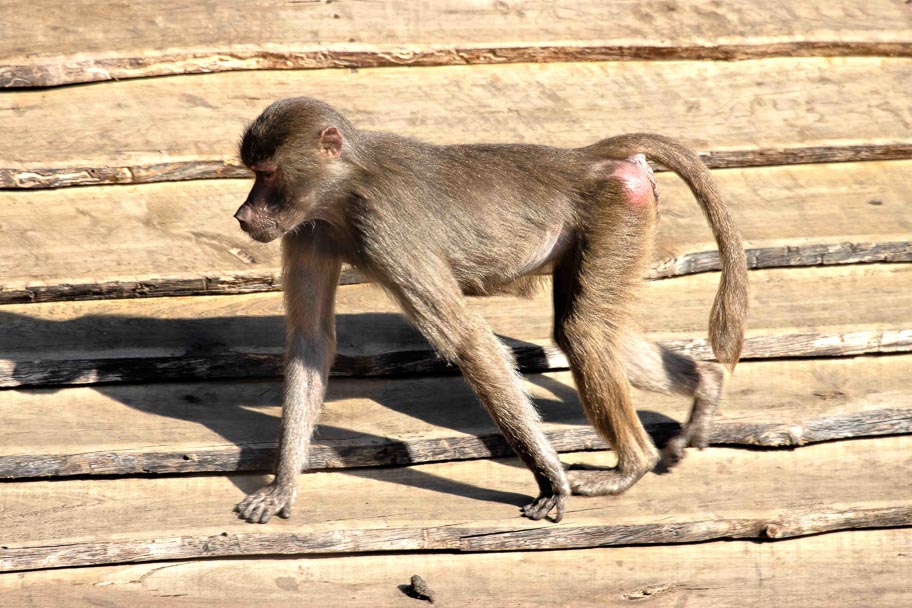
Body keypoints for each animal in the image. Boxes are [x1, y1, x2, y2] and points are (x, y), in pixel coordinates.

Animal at [232, 97, 748, 524]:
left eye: (268, 173)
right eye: (254, 172)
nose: (243, 215)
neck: (342, 186)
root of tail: (584, 158)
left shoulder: (384, 226)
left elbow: (467, 342)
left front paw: (550, 480)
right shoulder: (309, 228)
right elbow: (311, 342)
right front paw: (281, 487)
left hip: (617, 212)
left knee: (582, 333)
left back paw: (633, 464)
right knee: (589, 330)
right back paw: (705, 384)